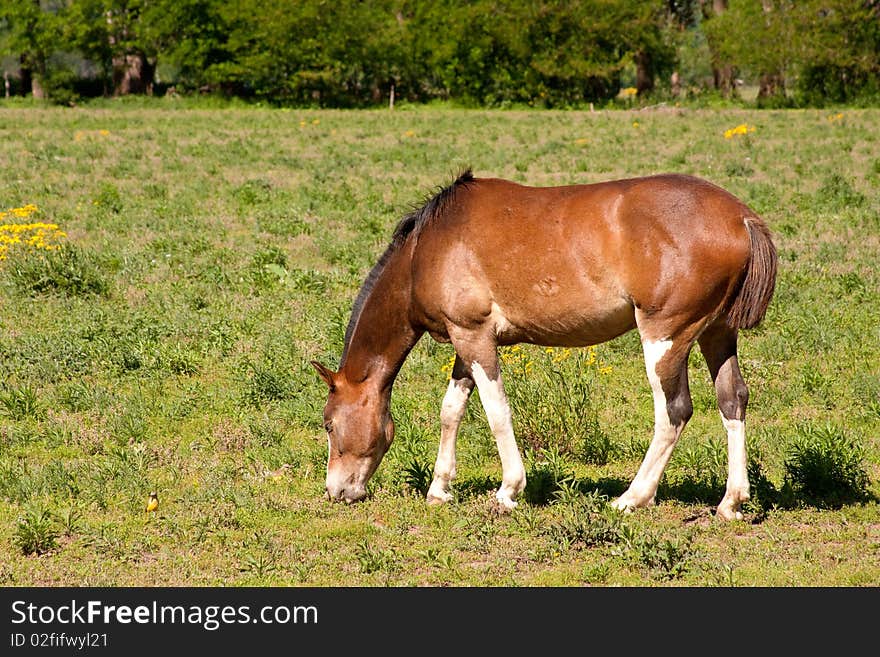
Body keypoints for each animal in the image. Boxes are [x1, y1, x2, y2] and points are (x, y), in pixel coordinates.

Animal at [312, 169, 776, 516]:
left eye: (329, 424)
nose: (336, 491)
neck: (426, 249)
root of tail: (741, 218)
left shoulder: (474, 336)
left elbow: (497, 412)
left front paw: (508, 490)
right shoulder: (467, 341)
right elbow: (451, 410)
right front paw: (440, 488)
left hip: (665, 336)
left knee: (674, 411)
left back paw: (631, 497)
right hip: (717, 333)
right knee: (732, 399)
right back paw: (731, 502)